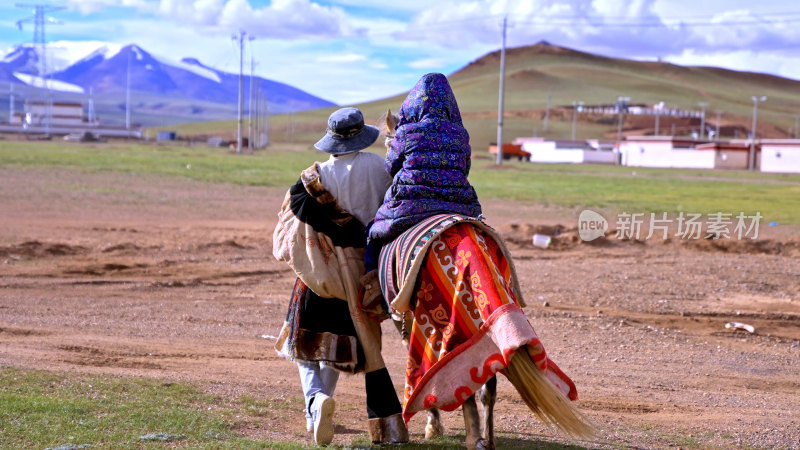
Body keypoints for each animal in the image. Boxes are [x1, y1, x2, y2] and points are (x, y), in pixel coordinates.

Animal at [376, 107, 592, 448]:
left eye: (388, 145)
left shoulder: (406, 319)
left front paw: (434, 424)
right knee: (486, 384)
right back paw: (485, 439)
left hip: (448, 325)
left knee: (461, 381)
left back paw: (471, 436)